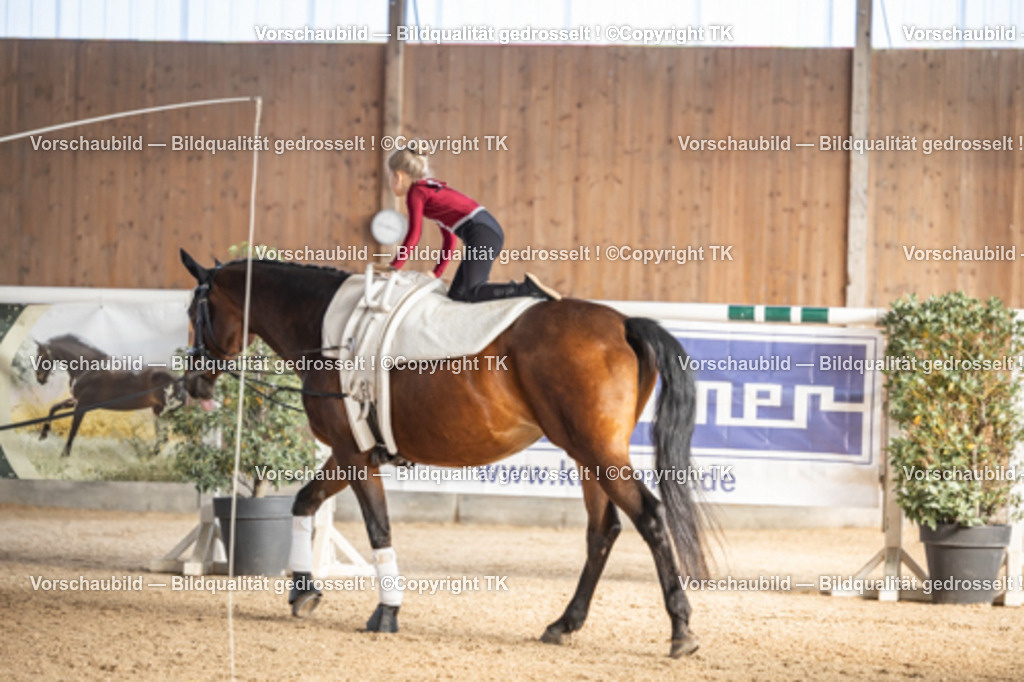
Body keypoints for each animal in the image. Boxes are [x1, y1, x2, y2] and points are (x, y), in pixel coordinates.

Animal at [35, 337, 185, 457]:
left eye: (41, 355)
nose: (39, 378)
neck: (88, 368)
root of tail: (177, 377)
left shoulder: (82, 405)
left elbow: (73, 430)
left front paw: (64, 455)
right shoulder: (76, 401)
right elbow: (53, 408)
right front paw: (43, 434)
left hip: (169, 412)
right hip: (159, 411)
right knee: (163, 438)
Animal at [179, 248, 708, 658]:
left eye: (194, 314)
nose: (193, 382)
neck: (332, 330)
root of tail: (622, 323)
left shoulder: (353, 453)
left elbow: (378, 528)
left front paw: (386, 611)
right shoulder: (352, 451)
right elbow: (304, 501)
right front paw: (303, 589)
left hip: (598, 452)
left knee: (650, 517)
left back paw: (681, 629)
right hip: (586, 455)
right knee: (603, 530)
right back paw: (564, 623)